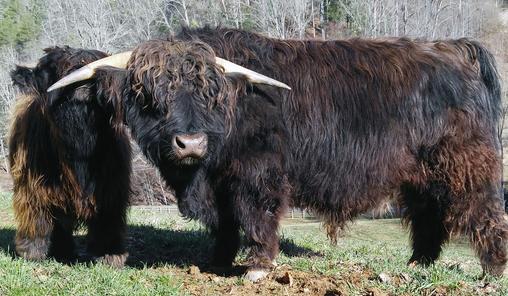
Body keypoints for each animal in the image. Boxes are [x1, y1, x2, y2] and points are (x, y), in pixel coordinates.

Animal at [9, 46, 132, 266]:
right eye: (52, 69)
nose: (80, 83)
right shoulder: (32, 185)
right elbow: (37, 214)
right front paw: (32, 252)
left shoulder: (112, 187)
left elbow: (108, 220)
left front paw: (110, 254)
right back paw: (61, 251)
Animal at [48, 28, 508, 280]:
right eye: (146, 96)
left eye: (209, 94)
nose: (190, 143)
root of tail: (455, 48)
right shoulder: (219, 183)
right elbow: (225, 224)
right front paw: (218, 261)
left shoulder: (257, 174)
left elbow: (256, 214)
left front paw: (256, 265)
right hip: (420, 173)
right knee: (428, 215)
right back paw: (418, 265)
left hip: (465, 164)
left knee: (483, 211)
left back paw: (493, 269)